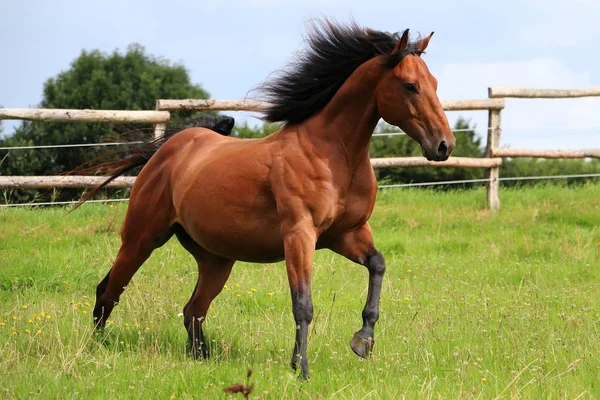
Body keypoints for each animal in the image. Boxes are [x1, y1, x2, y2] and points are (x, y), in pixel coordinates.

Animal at [74, 18, 454, 380]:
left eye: (435, 83)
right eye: (409, 85)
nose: (443, 145)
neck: (333, 155)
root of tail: (170, 149)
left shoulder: (347, 234)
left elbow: (378, 265)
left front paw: (363, 341)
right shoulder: (299, 235)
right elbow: (303, 304)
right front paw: (301, 370)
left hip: (216, 259)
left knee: (193, 310)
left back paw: (202, 359)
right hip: (142, 238)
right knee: (109, 291)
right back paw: (97, 349)